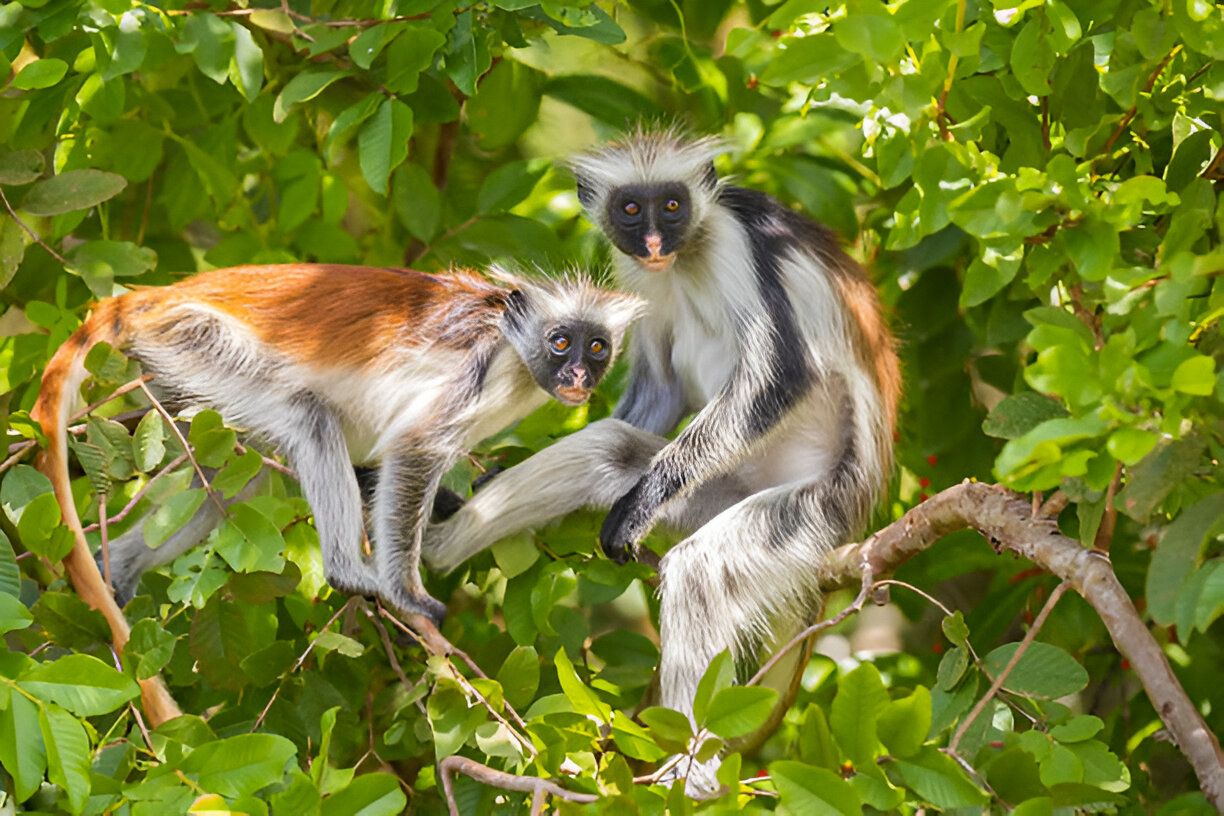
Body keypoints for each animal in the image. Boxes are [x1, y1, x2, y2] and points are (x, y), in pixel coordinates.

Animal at [32, 264, 643, 692]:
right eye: (560, 341)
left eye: (596, 346)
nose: (578, 375)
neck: (511, 342)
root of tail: (144, 297)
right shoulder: (477, 368)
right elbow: (413, 447)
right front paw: (407, 591)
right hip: (192, 337)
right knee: (308, 416)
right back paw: (350, 572)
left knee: (231, 479)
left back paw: (118, 565)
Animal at [421, 131, 901, 793]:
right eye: (631, 209)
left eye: (672, 206)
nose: (652, 242)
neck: (687, 254)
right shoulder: (637, 276)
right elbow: (661, 387)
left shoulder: (737, 242)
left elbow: (781, 376)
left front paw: (643, 500)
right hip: (716, 491)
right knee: (609, 448)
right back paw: (434, 543)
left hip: (814, 507)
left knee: (700, 570)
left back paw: (689, 778)